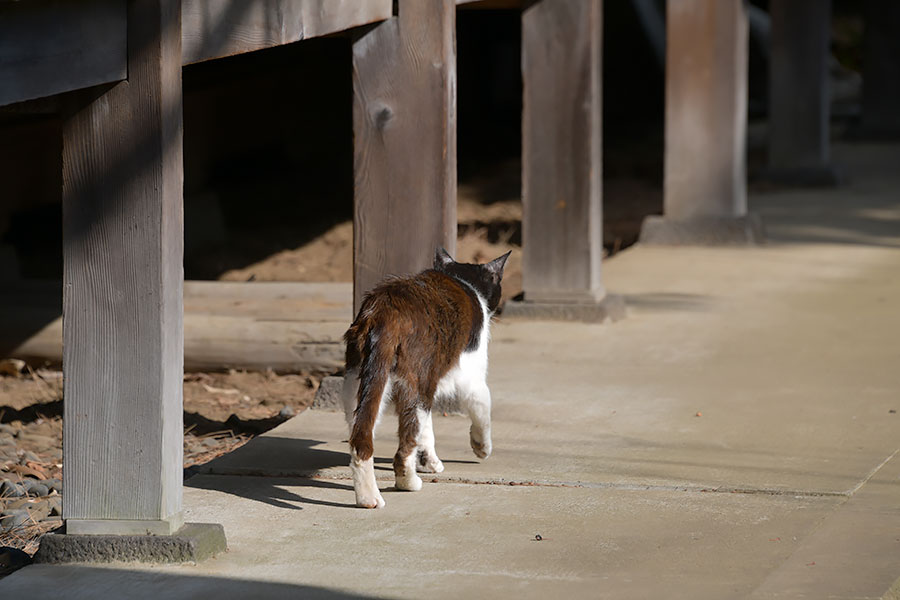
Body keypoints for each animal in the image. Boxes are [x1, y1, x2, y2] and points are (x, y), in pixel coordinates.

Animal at [342, 246, 510, 508]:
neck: (462, 280)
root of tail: (385, 312)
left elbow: (427, 431)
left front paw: (429, 462)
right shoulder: (471, 375)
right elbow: (482, 408)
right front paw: (482, 447)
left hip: (358, 379)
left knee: (361, 435)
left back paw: (367, 497)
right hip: (415, 381)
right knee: (403, 447)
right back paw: (408, 483)